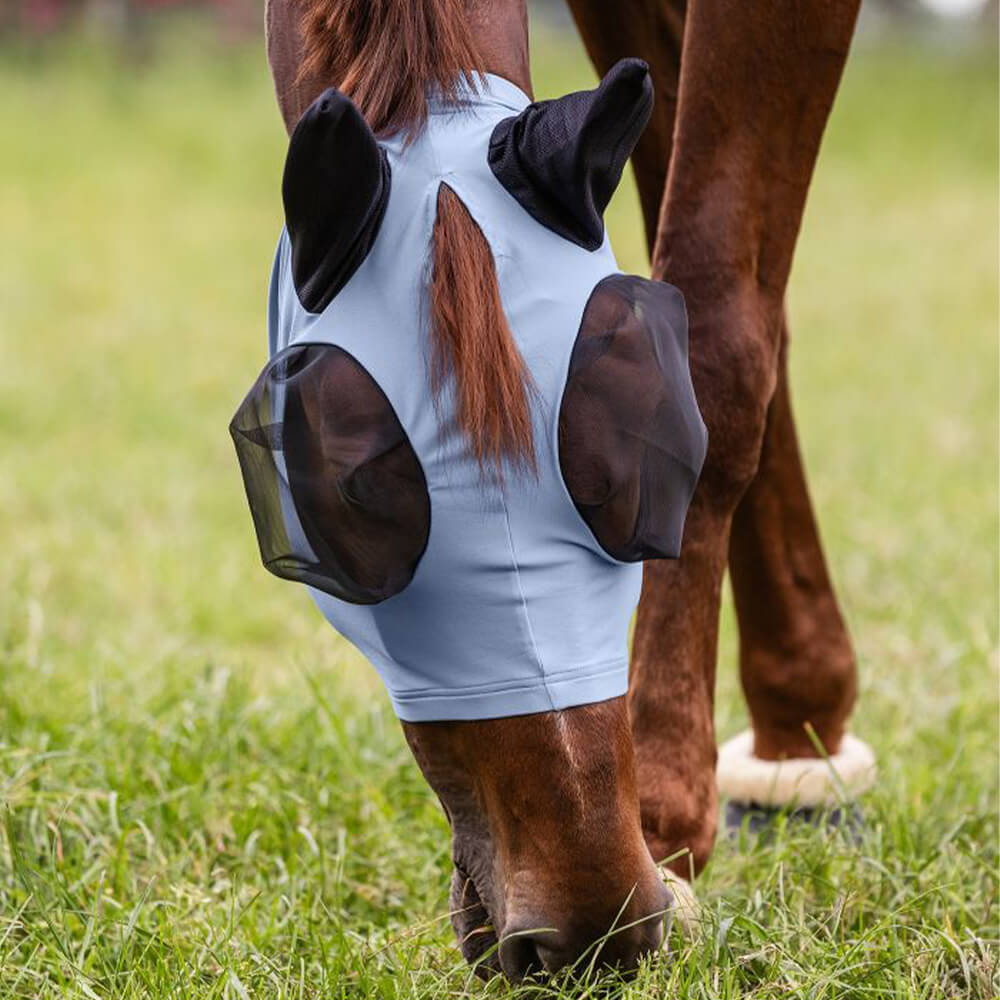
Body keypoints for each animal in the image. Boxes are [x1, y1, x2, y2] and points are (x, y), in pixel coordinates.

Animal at [253, 0, 876, 980]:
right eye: (355, 495)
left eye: (646, 444)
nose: (592, 925)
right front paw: (794, 724)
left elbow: (725, 325)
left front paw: (671, 810)